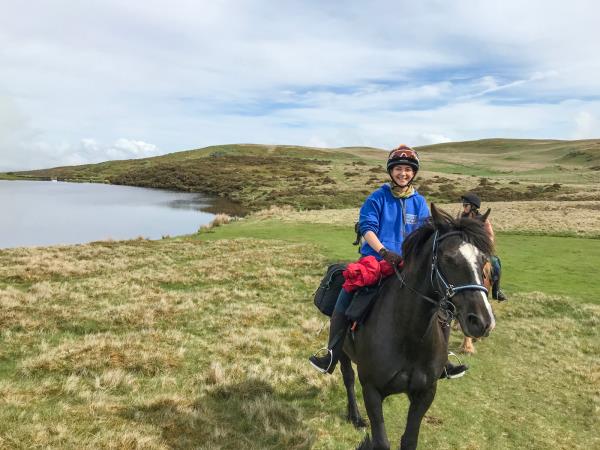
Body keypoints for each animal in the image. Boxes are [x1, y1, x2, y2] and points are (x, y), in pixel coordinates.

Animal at [336, 205, 494, 450]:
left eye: (483, 259)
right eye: (449, 258)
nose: (482, 322)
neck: (408, 334)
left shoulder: (424, 394)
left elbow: (409, 440)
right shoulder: (371, 391)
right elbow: (381, 441)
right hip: (343, 353)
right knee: (348, 378)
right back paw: (355, 416)